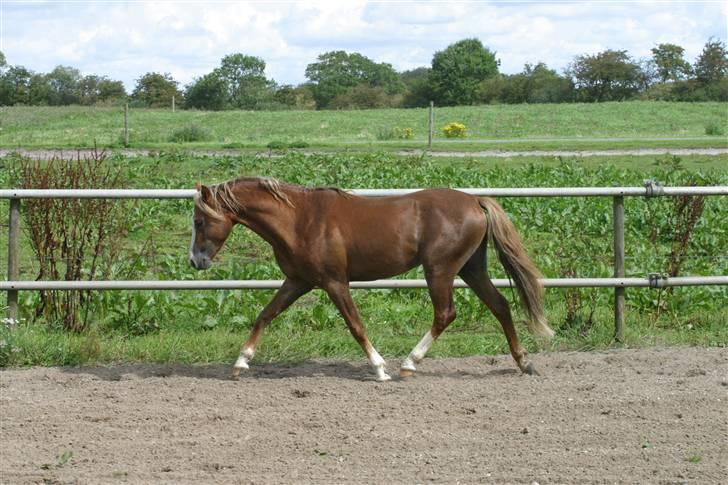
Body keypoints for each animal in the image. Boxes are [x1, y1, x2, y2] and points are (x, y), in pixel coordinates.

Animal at [188, 176, 552, 380]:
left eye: (199, 221)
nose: (195, 261)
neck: (300, 220)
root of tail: (475, 201)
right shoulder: (298, 281)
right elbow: (265, 315)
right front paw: (240, 364)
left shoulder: (334, 282)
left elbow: (356, 325)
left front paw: (380, 369)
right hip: (470, 269)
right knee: (500, 305)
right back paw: (525, 363)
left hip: (440, 270)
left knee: (446, 313)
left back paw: (408, 364)